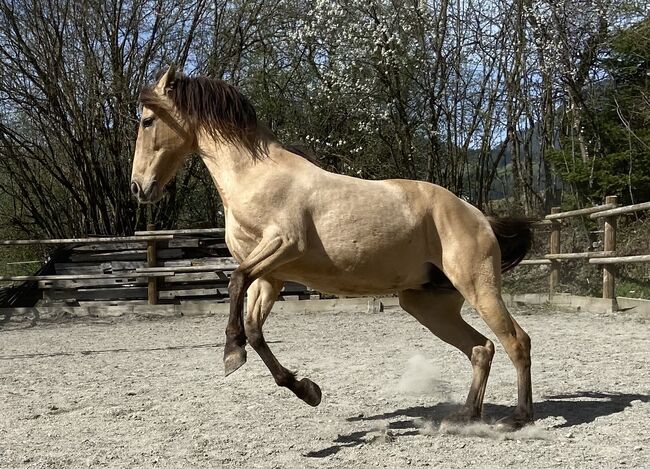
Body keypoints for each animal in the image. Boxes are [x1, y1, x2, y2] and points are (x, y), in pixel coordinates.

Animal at [130, 65, 532, 428]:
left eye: (147, 121)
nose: (138, 188)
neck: (255, 176)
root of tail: (478, 216)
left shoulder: (283, 245)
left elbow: (235, 282)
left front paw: (232, 352)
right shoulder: (271, 277)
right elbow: (255, 329)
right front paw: (307, 390)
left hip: (478, 287)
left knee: (516, 341)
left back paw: (518, 418)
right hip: (428, 304)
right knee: (481, 348)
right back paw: (466, 415)